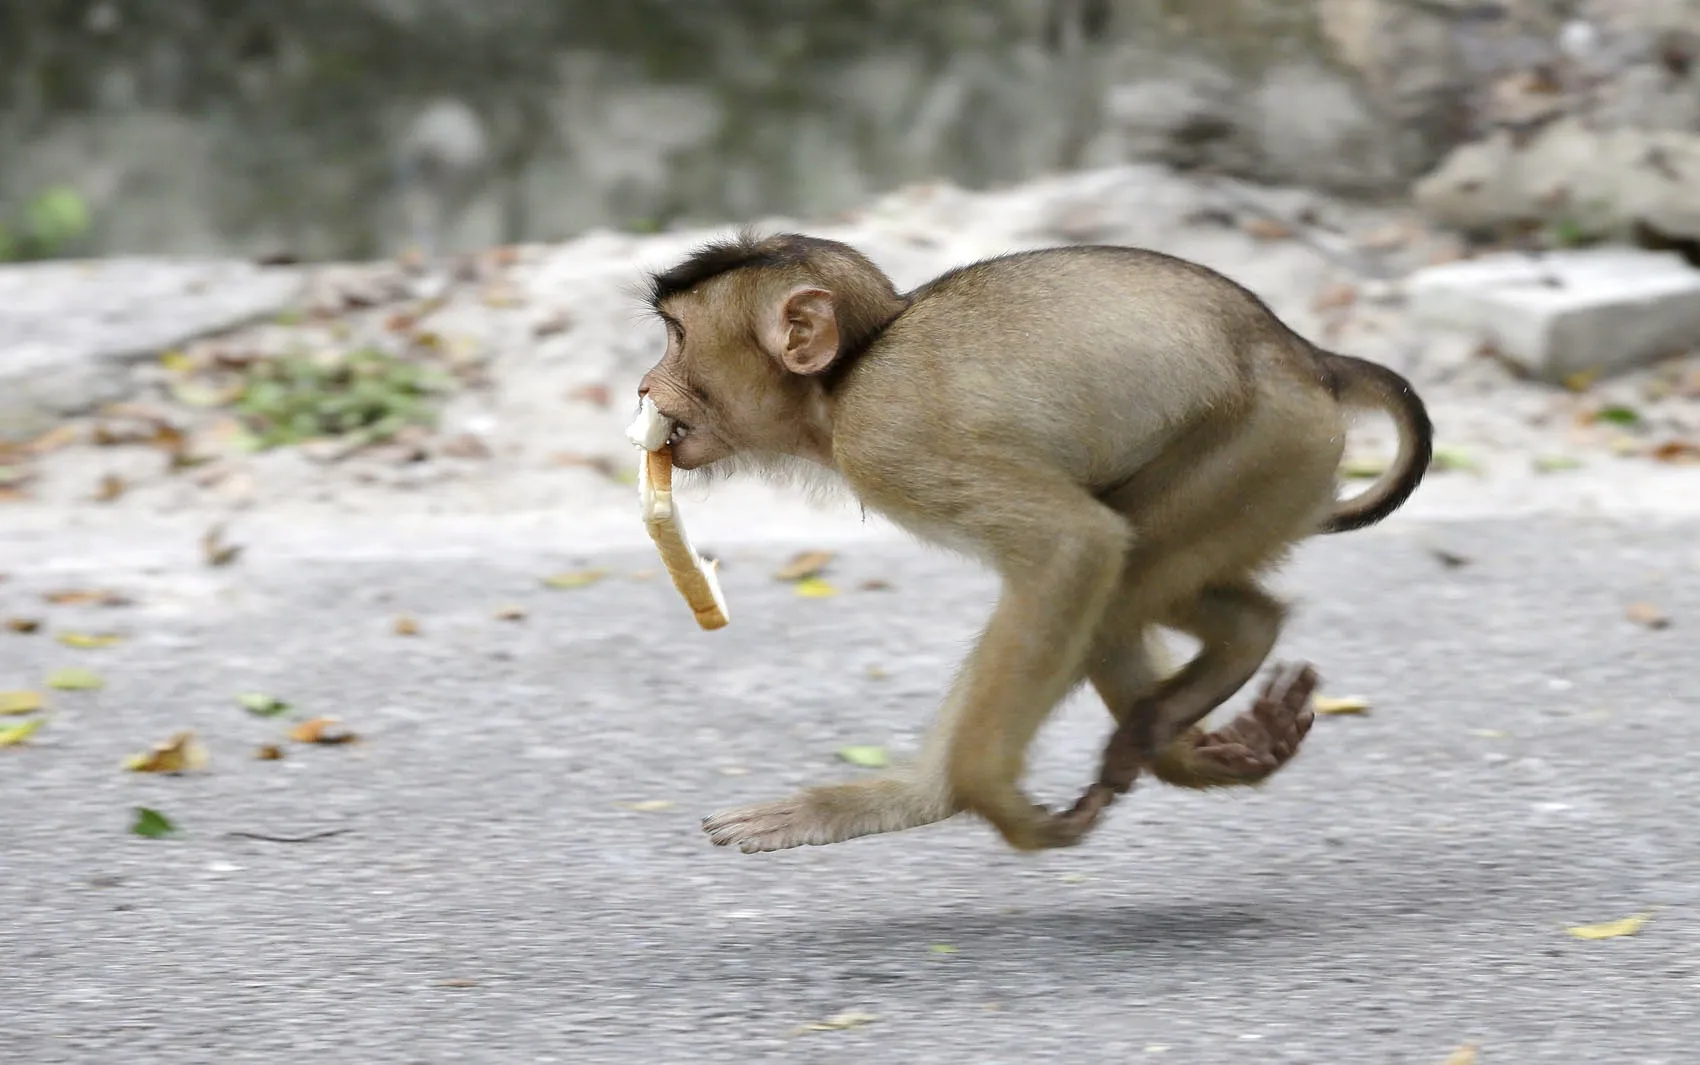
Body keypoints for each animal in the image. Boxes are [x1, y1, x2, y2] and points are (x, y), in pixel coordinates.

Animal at [632, 227, 1428, 850]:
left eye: (677, 339)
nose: (642, 386)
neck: (845, 378)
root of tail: (1303, 355)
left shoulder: (887, 433)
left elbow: (1069, 545)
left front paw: (981, 797)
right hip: (1279, 468)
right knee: (1143, 579)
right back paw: (1224, 673)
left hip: (1271, 445)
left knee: (1119, 565)